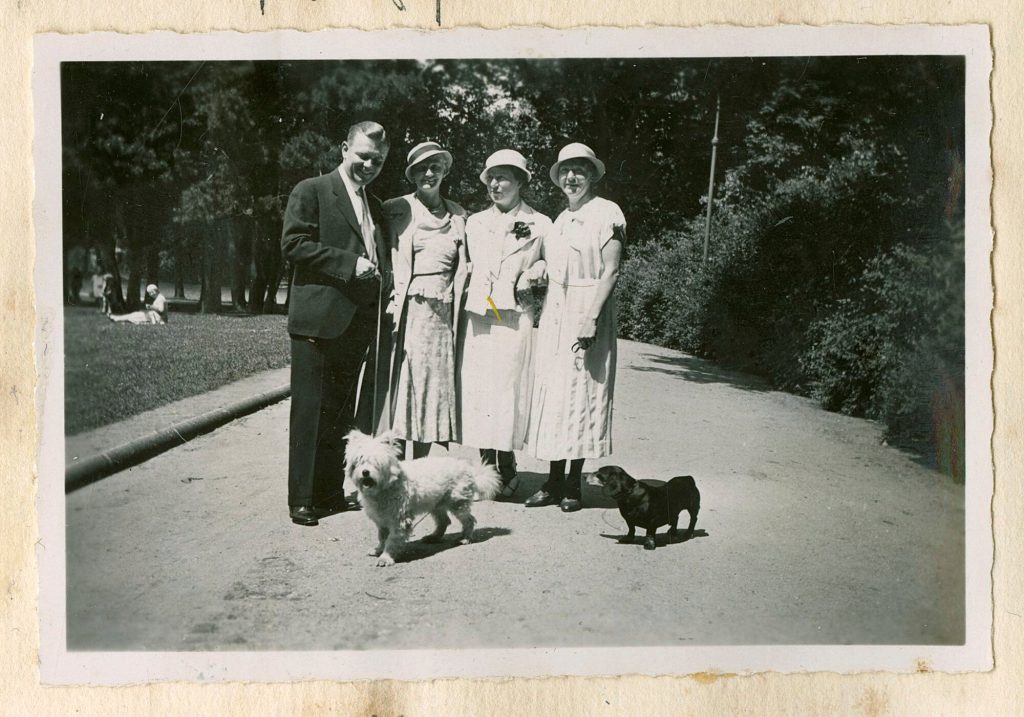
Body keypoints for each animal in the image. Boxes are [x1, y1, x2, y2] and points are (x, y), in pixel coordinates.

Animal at [346, 432, 501, 565]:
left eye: (376, 462)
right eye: (358, 461)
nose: (365, 472)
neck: (386, 487)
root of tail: (468, 468)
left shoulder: (400, 520)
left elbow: (392, 540)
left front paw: (386, 557)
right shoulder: (381, 519)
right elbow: (382, 537)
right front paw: (378, 549)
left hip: (457, 503)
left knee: (469, 520)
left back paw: (465, 538)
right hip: (436, 504)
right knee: (444, 521)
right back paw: (434, 537)